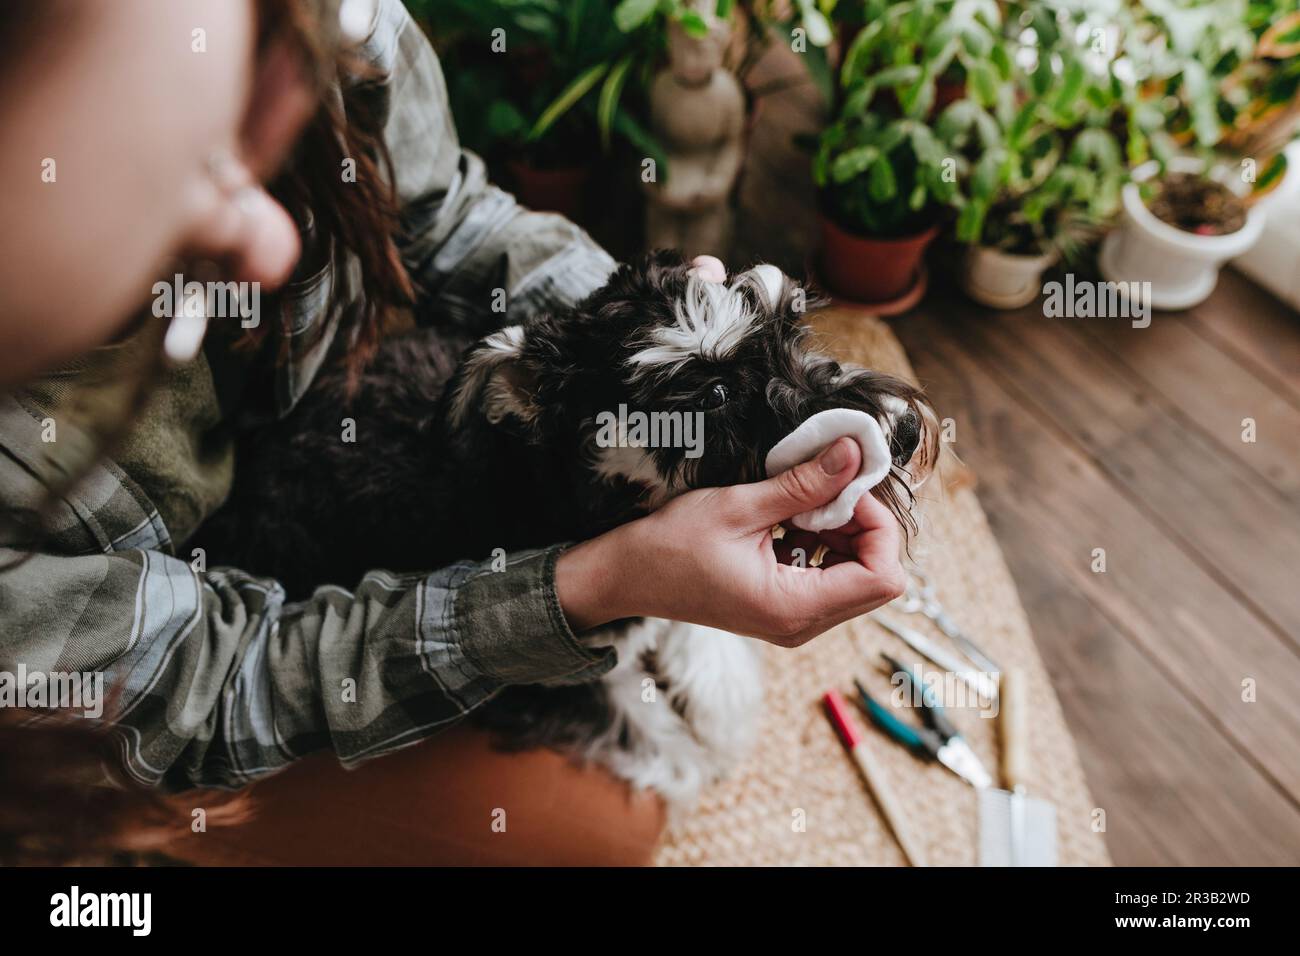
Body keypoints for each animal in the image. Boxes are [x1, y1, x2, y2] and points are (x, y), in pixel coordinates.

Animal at [200, 251, 935, 811]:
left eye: (791, 324)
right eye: (714, 396)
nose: (902, 429)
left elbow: (706, 650)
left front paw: (720, 711)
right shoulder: (563, 681)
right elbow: (664, 744)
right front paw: (705, 753)